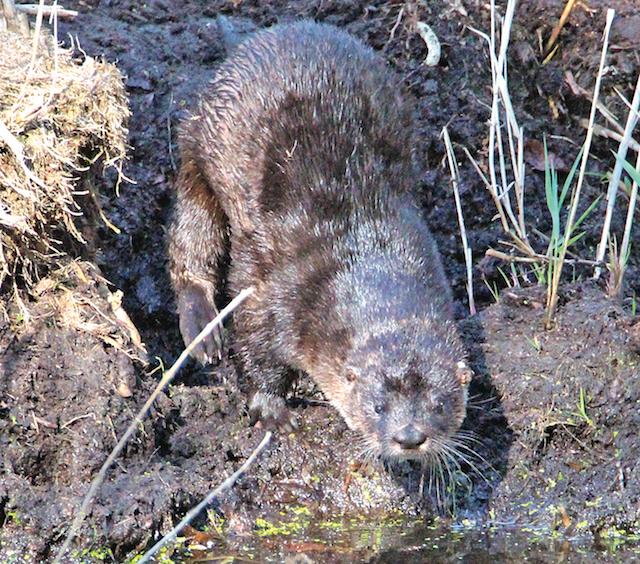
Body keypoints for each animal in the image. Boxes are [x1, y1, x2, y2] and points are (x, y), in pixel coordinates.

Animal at [168, 21, 471, 461]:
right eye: (377, 405)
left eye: (440, 404)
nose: (410, 436)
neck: (365, 250)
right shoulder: (274, 294)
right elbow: (254, 350)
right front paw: (272, 413)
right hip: (199, 146)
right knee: (190, 243)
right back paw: (204, 333)